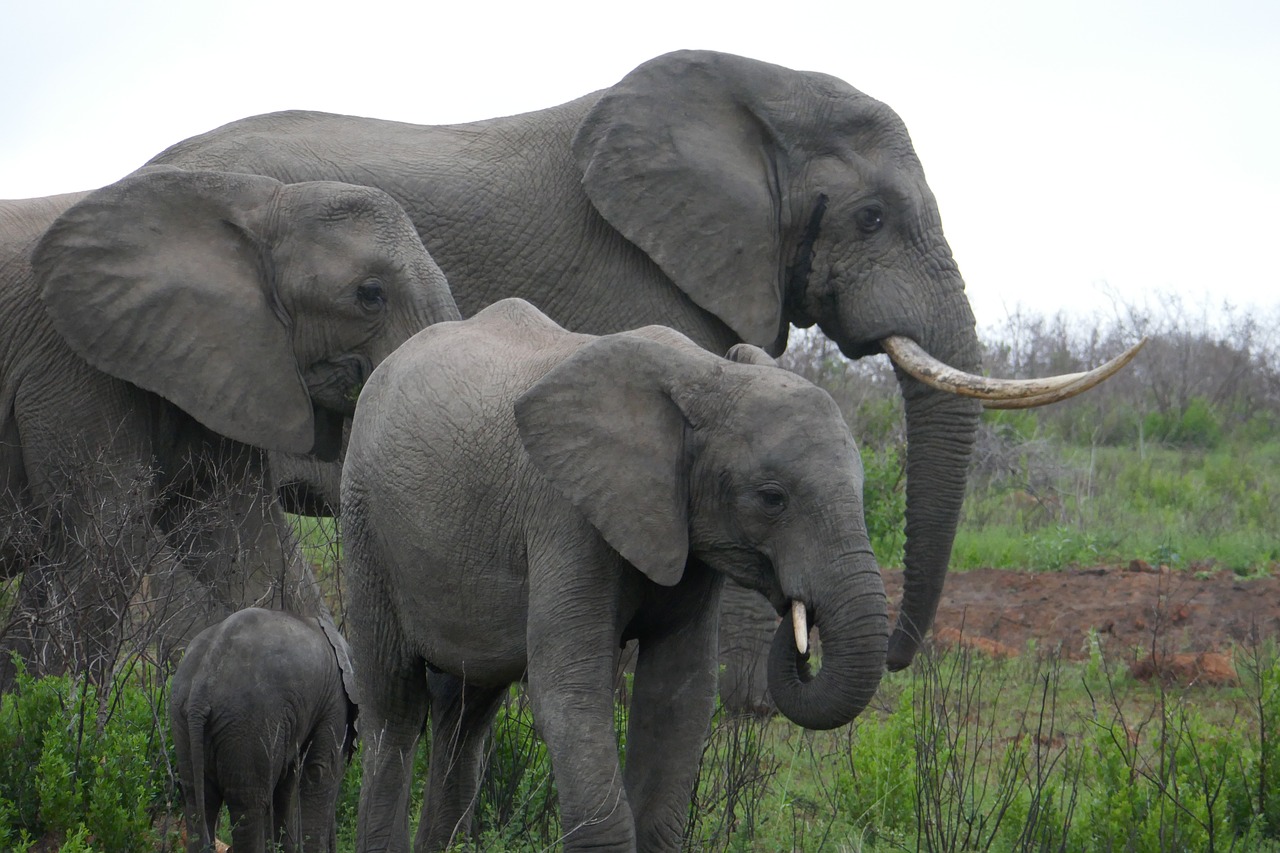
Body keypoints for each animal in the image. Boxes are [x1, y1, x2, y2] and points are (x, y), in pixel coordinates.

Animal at [170, 604, 360, 850]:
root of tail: (201, 687)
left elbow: (286, 785)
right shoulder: (334, 701)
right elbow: (318, 771)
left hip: (183, 719)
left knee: (198, 800)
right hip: (247, 723)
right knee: (247, 807)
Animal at [340, 295, 890, 845]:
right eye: (772, 498)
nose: (800, 621)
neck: (708, 375)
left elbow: (679, 696)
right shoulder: (566, 513)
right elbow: (570, 691)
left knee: (466, 710)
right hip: (365, 522)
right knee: (395, 704)